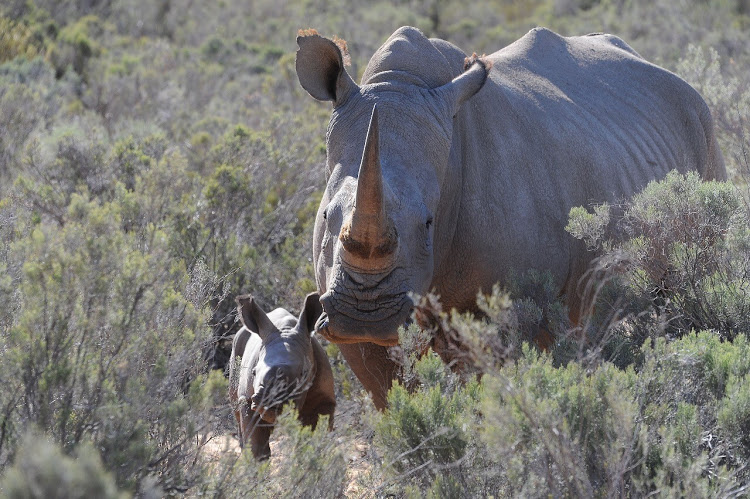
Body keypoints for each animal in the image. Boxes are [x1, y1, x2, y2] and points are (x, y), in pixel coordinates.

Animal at [228, 292, 336, 460]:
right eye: (254, 372)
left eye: (303, 374)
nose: (267, 399)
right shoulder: (247, 399)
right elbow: (257, 447)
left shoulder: (323, 400)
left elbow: (309, 443)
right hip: (236, 348)